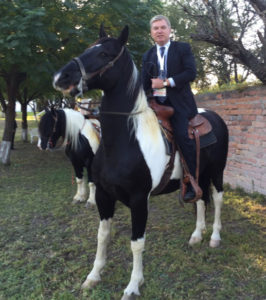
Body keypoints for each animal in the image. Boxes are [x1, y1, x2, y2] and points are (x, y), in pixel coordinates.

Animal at [52, 26, 229, 300]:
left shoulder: (138, 200)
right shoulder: (103, 195)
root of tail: (214, 117)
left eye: (104, 53)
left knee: (218, 199)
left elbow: (136, 243)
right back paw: (197, 235)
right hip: (197, 175)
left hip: (218, 171)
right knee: (200, 199)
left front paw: (133, 285)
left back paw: (215, 237)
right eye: (87, 48)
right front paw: (93, 276)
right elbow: (102, 235)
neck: (124, 141)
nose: (62, 77)